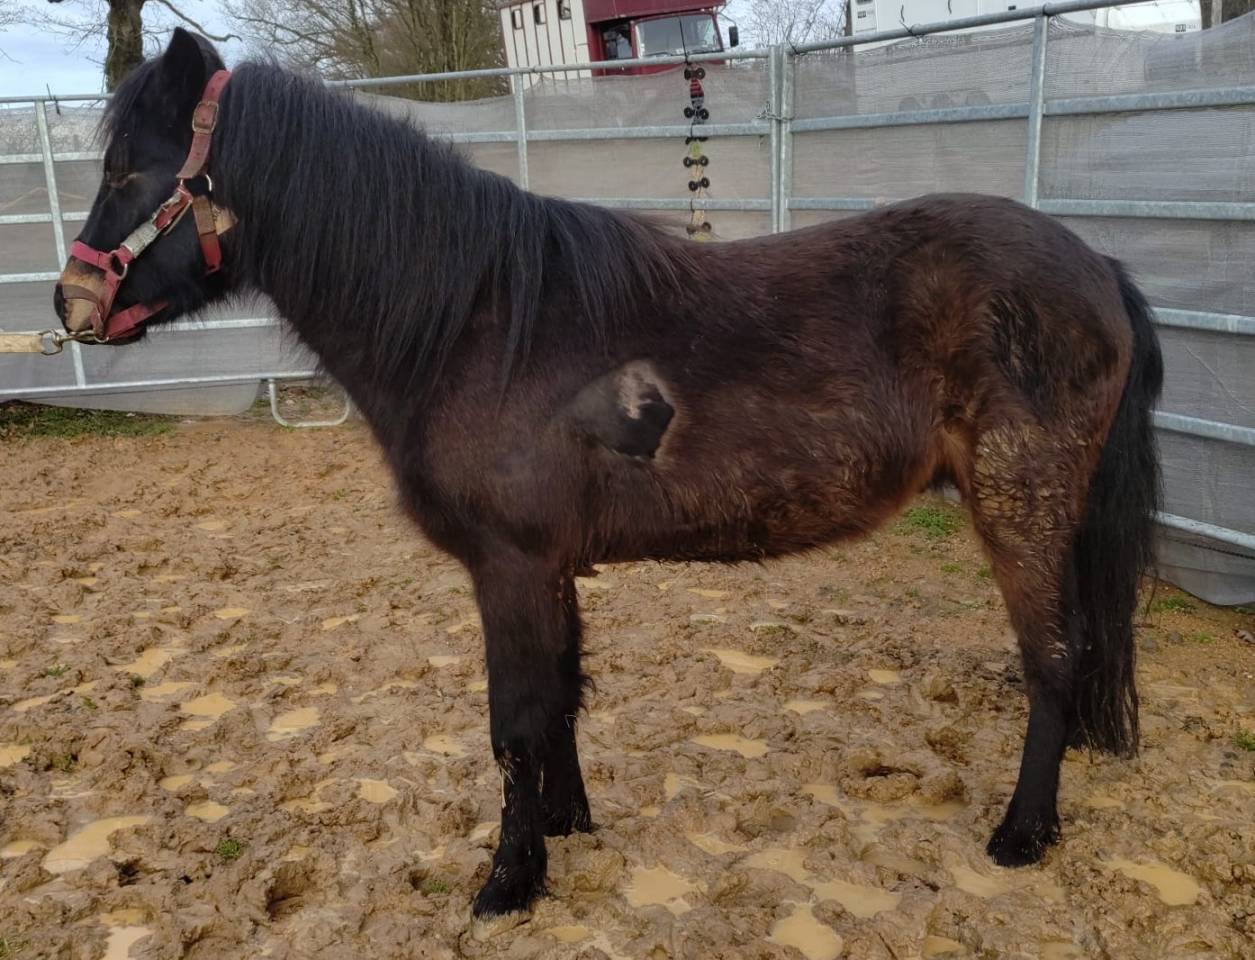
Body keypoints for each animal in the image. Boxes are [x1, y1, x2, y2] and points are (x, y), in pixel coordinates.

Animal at [54, 28, 1162, 918]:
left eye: (128, 173)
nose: (70, 303)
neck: (480, 322)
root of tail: (1095, 269)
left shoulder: (506, 566)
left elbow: (512, 722)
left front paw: (508, 883)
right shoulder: (548, 567)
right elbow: (562, 698)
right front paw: (568, 825)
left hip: (1019, 505)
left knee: (1053, 657)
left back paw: (1021, 835)